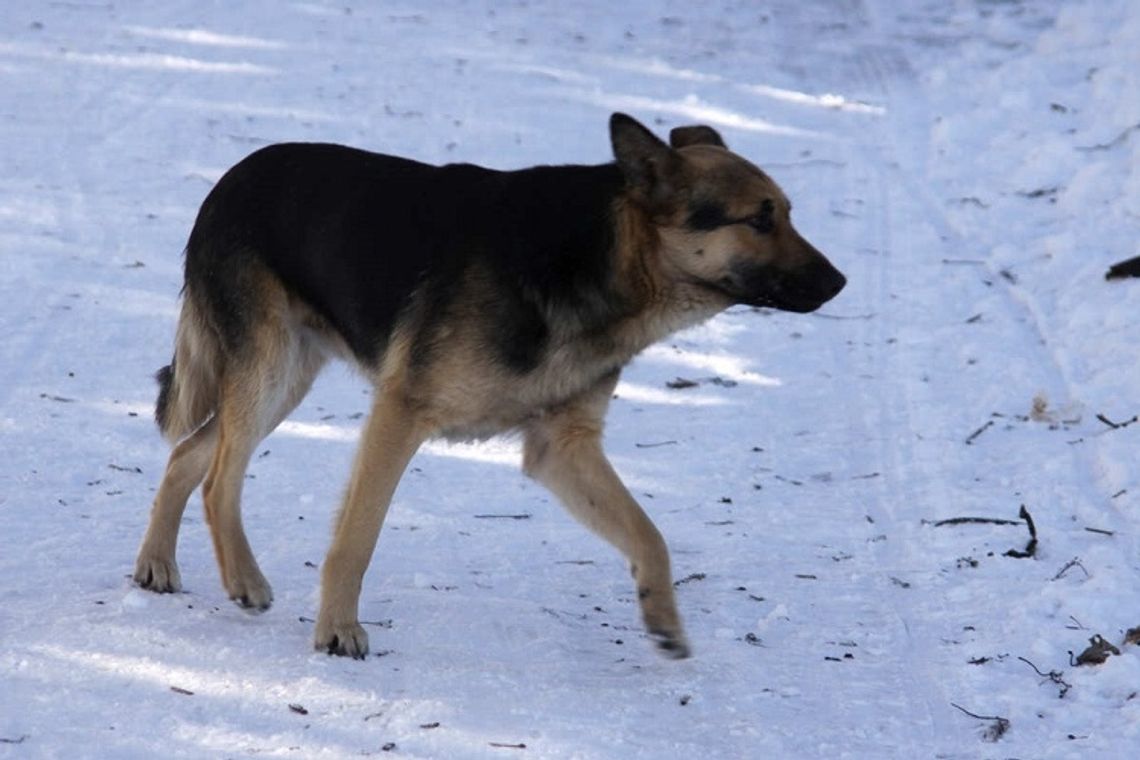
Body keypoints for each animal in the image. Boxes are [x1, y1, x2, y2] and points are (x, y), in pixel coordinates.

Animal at [133, 111, 848, 660]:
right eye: (758, 220)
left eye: (786, 213)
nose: (841, 282)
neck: (600, 259)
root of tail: (230, 179)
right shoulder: (400, 415)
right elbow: (356, 540)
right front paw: (338, 631)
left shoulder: (563, 449)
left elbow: (650, 535)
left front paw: (663, 618)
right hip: (270, 369)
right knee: (219, 476)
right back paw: (243, 579)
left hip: (284, 382)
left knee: (189, 454)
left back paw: (157, 565)